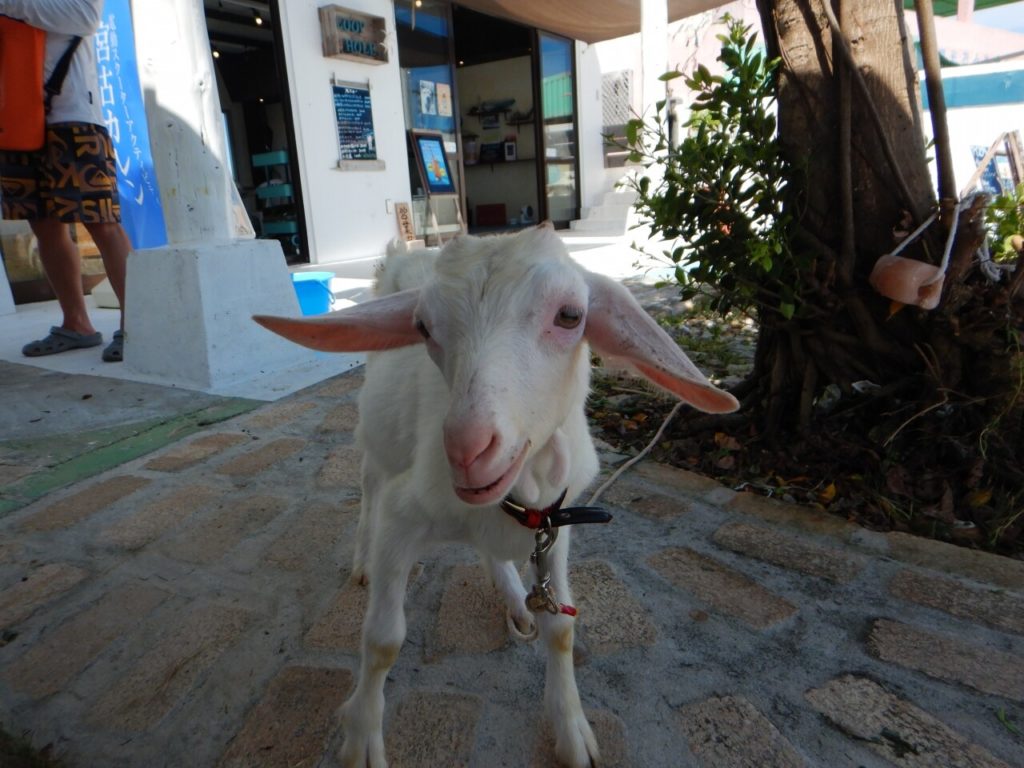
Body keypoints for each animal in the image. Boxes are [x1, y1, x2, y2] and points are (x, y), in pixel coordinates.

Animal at [253, 224, 737, 768]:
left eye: (571, 316)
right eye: (422, 327)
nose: (467, 449)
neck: (516, 499)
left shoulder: (558, 522)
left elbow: (562, 628)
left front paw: (573, 731)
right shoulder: (404, 515)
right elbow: (382, 640)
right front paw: (360, 739)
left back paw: (511, 593)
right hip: (377, 437)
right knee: (370, 481)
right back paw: (363, 559)